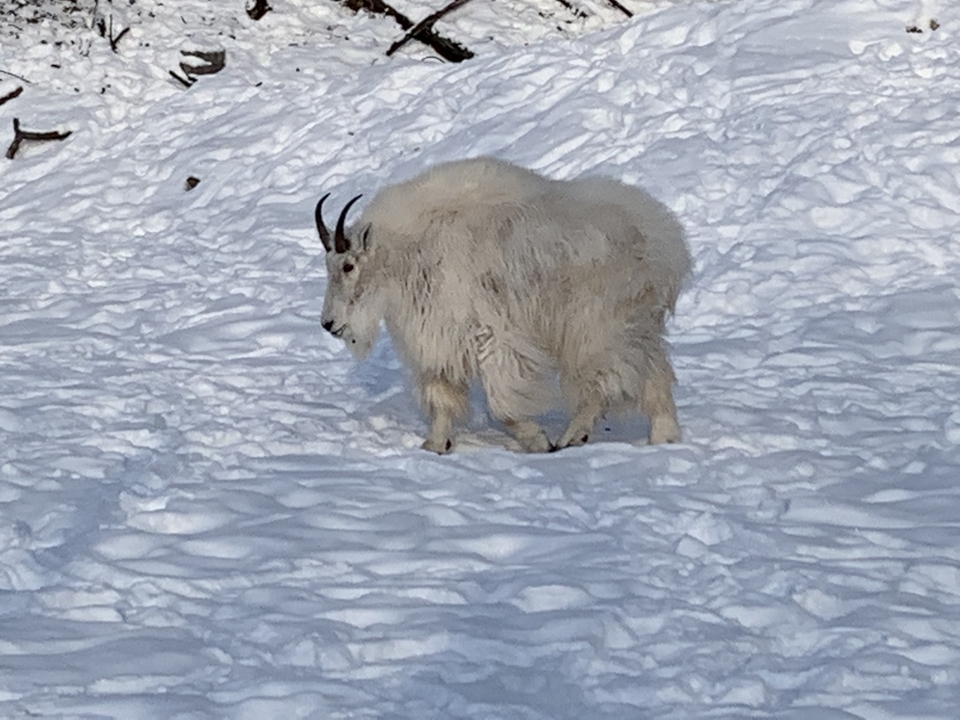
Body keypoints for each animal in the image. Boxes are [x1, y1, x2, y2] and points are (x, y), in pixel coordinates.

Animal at [316, 157, 691, 453]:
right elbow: (442, 398)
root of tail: (666, 243)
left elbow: (503, 405)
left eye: (348, 266)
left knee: (605, 381)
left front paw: (538, 441)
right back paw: (663, 436)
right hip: (633, 326)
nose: (329, 324)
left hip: (596, 327)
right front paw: (436, 445)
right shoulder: (438, 340)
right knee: (652, 372)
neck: (412, 251)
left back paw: (572, 436)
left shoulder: (496, 336)